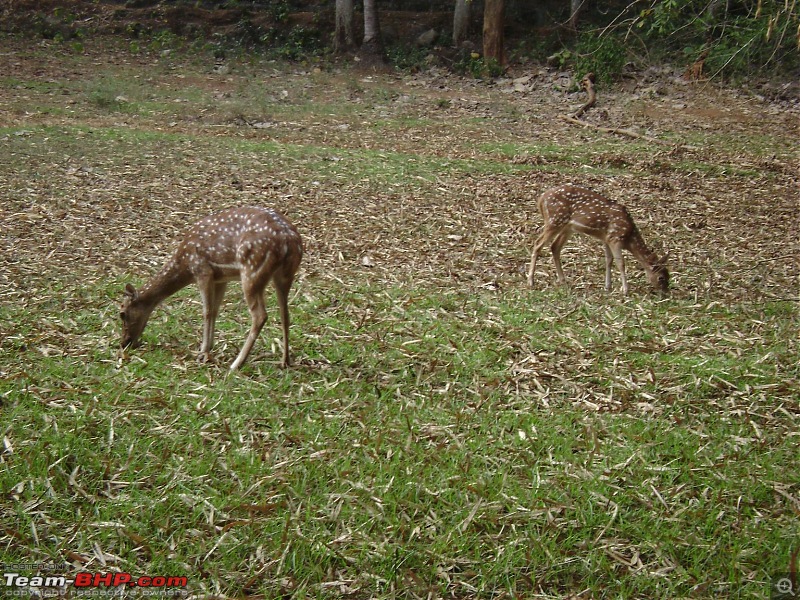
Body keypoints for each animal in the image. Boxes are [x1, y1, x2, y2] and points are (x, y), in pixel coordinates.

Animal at [119, 207, 304, 370]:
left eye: (122, 313)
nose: (124, 343)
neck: (185, 265)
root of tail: (288, 240)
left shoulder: (202, 270)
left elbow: (206, 311)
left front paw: (203, 352)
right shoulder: (221, 278)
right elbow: (215, 310)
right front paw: (209, 347)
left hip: (252, 271)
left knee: (260, 315)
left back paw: (236, 364)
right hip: (285, 275)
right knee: (285, 314)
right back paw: (285, 361)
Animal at [532, 183, 668, 296]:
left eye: (669, 275)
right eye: (661, 277)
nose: (665, 292)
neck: (629, 237)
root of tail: (541, 199)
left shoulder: (606, 239)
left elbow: (608, 261)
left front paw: (608, 286)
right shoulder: (615, 238)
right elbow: (620, 263)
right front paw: (625, 290)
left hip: (567, 227)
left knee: (555, 246)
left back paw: (562, 280)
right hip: (554, 220)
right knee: (538, 244)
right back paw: (531, 281)